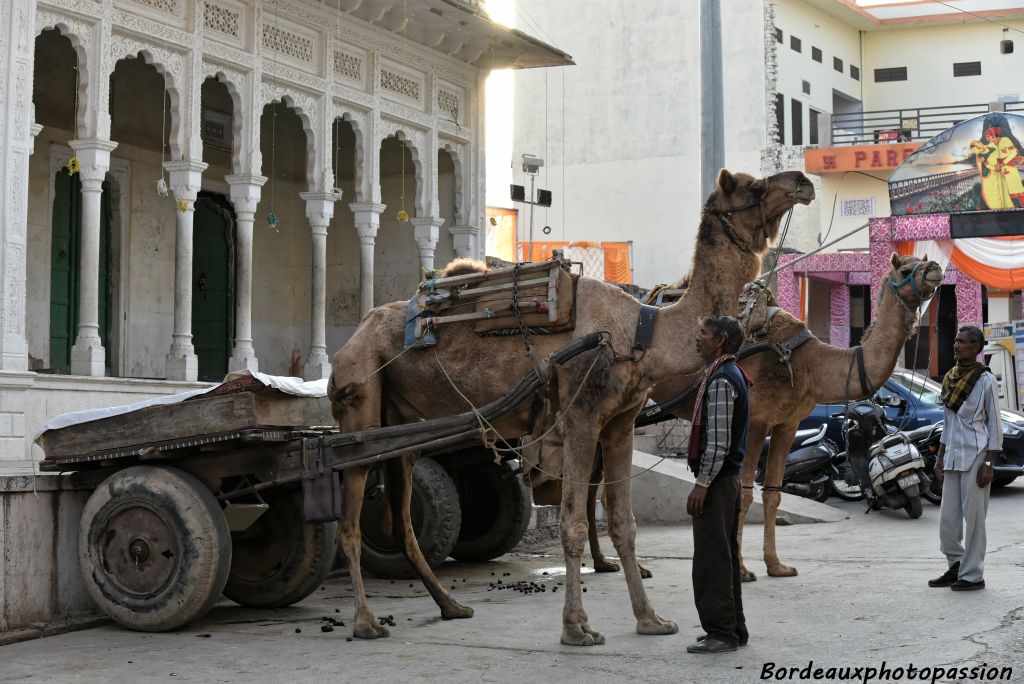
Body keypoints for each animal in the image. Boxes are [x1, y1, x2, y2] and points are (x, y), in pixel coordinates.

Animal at [327, 166, 815, 647]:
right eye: (754, 187)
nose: (803, 182)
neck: (642, 333)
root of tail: (349, 344)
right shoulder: (581, 417)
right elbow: (575, 522)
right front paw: (577, 627)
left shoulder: (619, 423)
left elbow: (623, 523)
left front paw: (650, 618)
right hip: (360, 407)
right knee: (348, 520)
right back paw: (366, 622)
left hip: (404, 425)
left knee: (402, 517)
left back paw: (451, 606)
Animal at [544, 252, 942, 581]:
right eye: (905, 268)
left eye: (922, 260)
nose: (935, 268)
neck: (809, 363)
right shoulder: (756, 421)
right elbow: (745, 494)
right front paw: (744, 569)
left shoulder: (787, 423)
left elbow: (774, 495)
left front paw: (776, 565)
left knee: (595, 482)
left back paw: (607, 563)